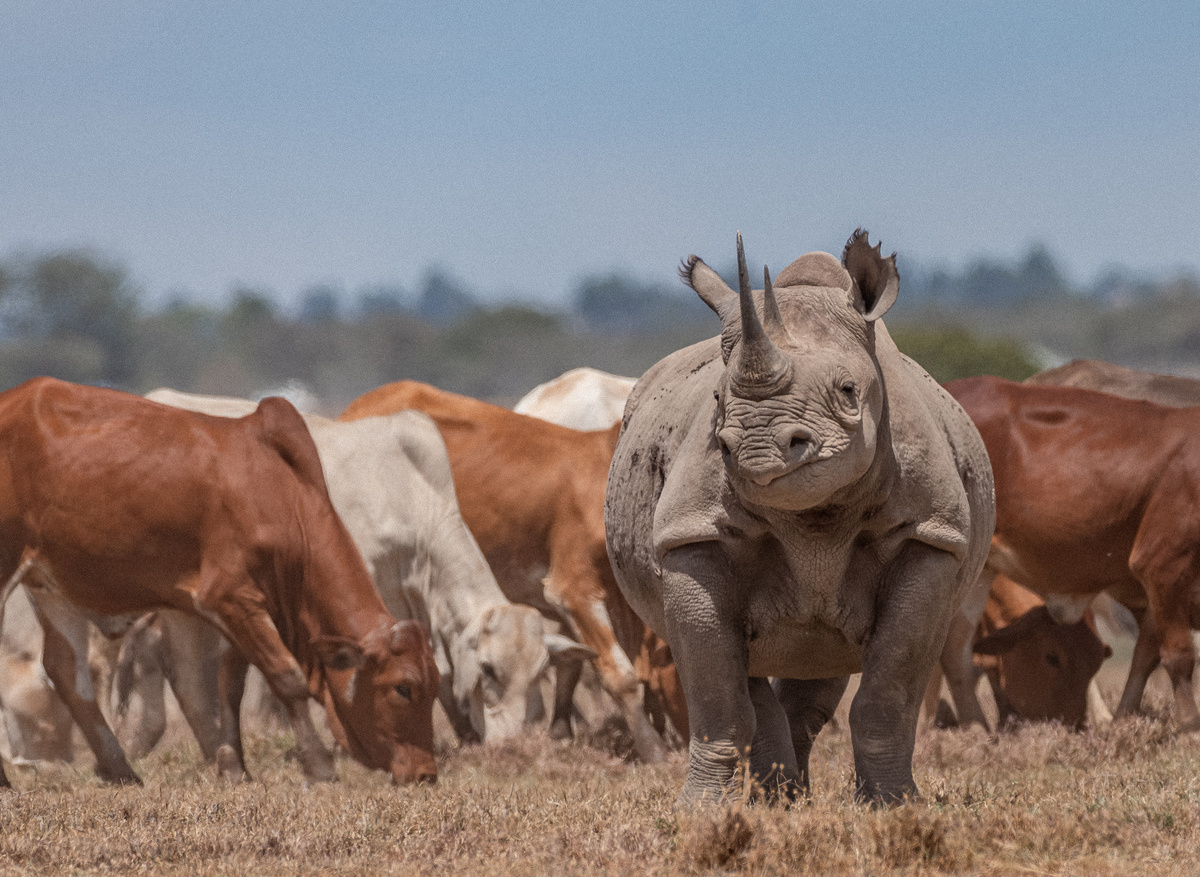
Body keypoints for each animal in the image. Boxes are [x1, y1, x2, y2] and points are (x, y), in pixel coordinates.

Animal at [605, 230, 995, 804]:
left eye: (849, 391)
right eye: (717, 398)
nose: (757, 448)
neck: (814, 522)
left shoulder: (931, 536)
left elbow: (888, 692)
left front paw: (893, 805)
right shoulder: (690, 533)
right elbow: (717, 697)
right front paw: (701, 809)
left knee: (820, 657)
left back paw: (789, 797)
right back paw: (778, 799)